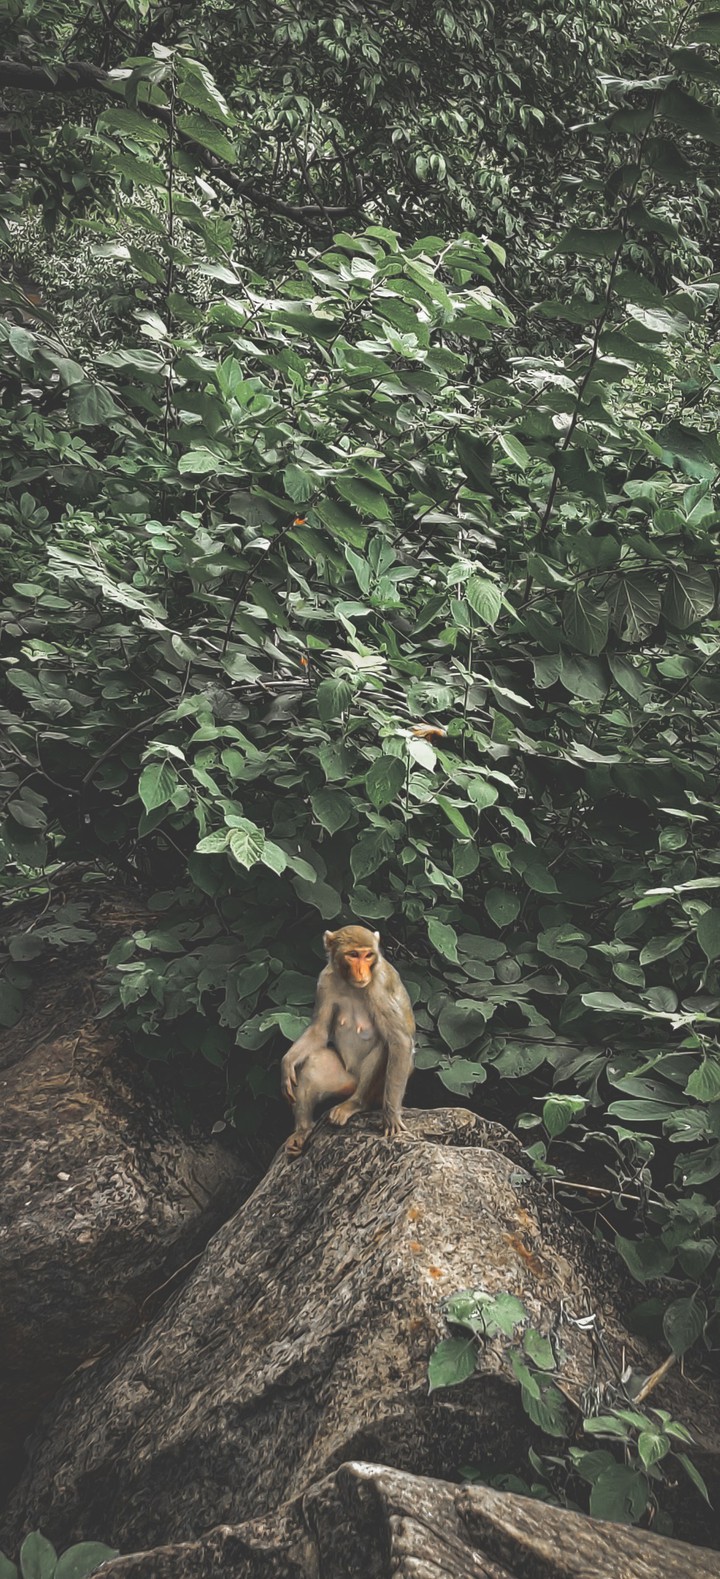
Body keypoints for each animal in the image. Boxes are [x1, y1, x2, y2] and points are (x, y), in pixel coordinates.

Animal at [281, 925, 415, 1157]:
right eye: (353, 955)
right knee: (315, 1062)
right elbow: (320, 1031)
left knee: (385, 1046)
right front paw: (287, 1062)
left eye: (368, 955)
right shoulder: (325, 980)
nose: (362, 972)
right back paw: (303, 1131)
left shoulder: (379, 986)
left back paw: (357, 1104)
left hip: (376, 1092)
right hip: (345, 1081)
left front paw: (391, 1117)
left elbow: (400, 1041)